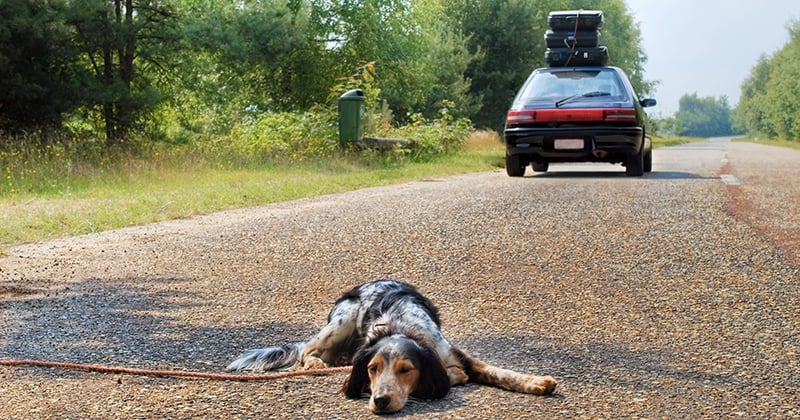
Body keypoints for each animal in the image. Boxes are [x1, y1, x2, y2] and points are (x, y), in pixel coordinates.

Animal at [227, 278, 556, 414]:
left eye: (406, 369)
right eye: (372, 370)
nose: (380, 400)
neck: (400, 326)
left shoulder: (455, 354)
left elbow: (498, 372)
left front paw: (536, 382)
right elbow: (456, 376)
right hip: (343, 319)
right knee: (307, 352)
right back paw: (316, 363)